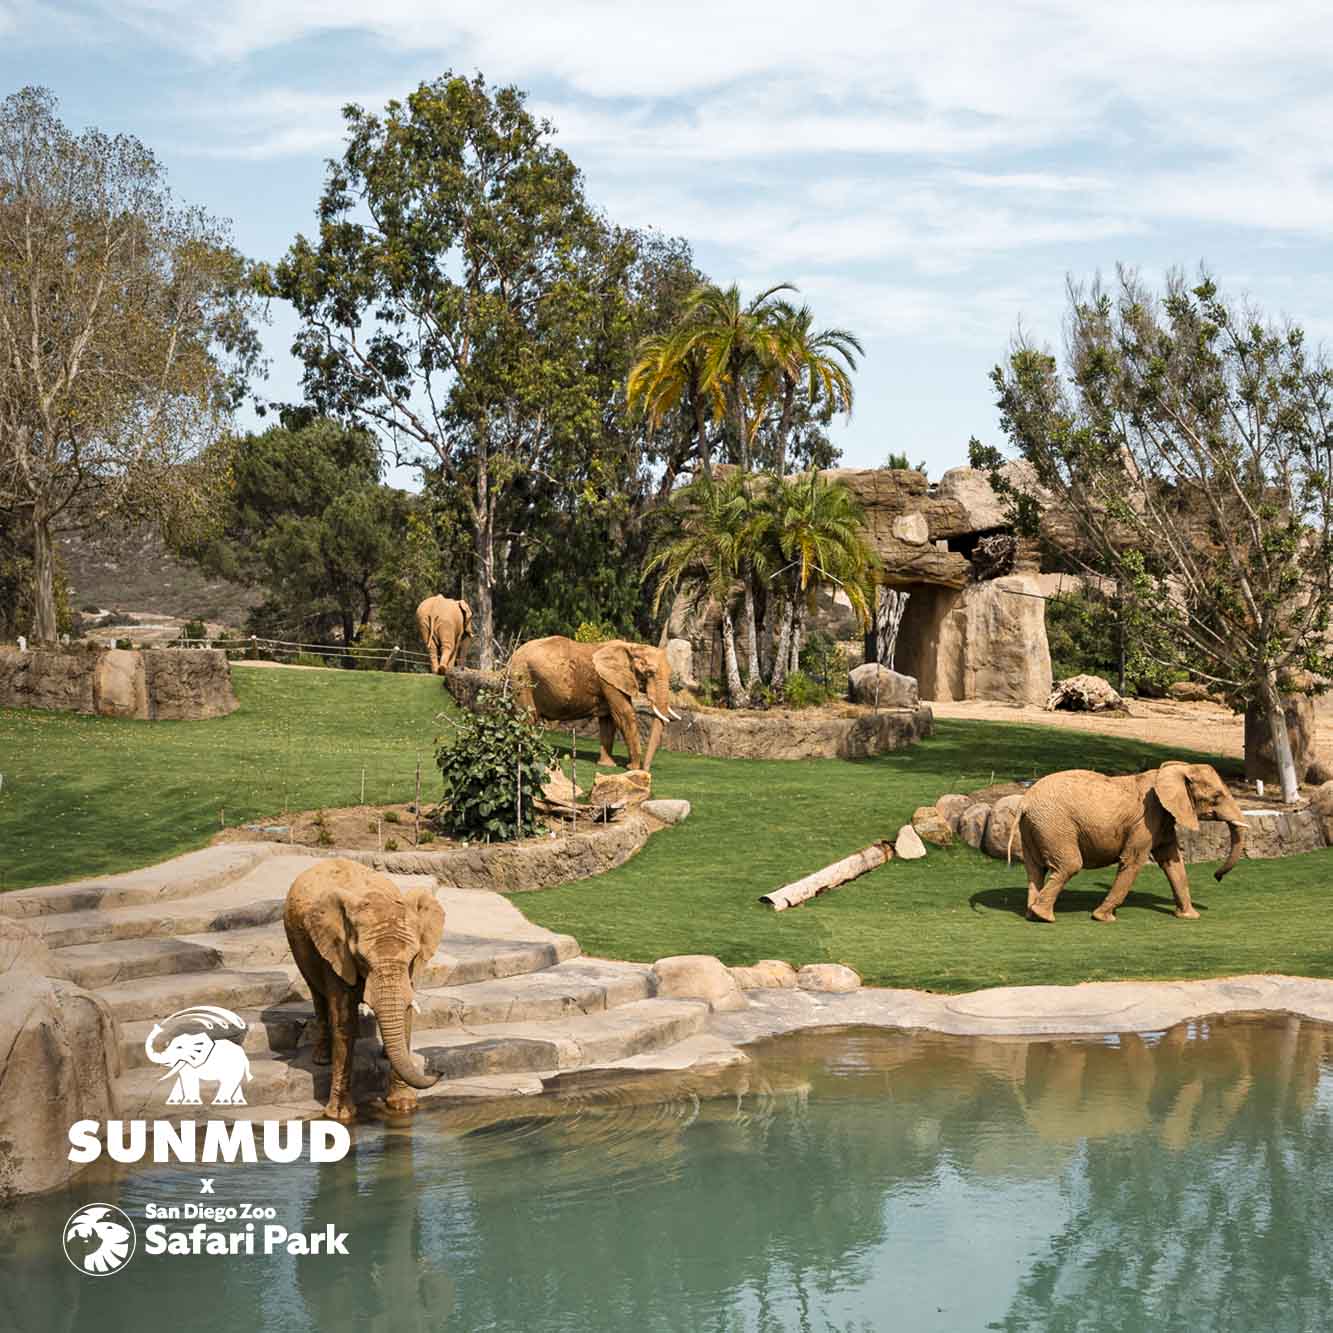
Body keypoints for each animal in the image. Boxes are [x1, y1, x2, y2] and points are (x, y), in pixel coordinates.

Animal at [284, 858, 446, 1121]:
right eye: (361, 959)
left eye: (412, 957)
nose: (439, 1071)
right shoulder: (337, 954)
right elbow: (344, 1022)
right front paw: (340, 1116)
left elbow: (406, 1015)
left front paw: (404, 1106)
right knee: (317, 994)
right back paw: (321, 1059)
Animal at [507, 635, 680, 771]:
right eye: (649, 673)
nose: (646, 770)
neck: (632, 646)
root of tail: (513, 655)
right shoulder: (608, 682)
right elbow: (624, 714)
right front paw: (633, 769)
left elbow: (609, 720)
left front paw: (607, 765)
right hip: (522, 678)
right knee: (528, 716)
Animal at [1011, 762, 1247, 923]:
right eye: (1217, 796)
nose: (1217, 877)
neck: (1177, 769)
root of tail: (1024, 801)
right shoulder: (1146, 819)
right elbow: (1133, 861)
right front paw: (1103, 918)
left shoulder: (1162, 819)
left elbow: (1172, 861)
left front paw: (1189, 917)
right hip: (1054, 824)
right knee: (1069, 865)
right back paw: (1044, 917)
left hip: (1036, 825)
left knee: (1036, 868)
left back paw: (1033, 914)